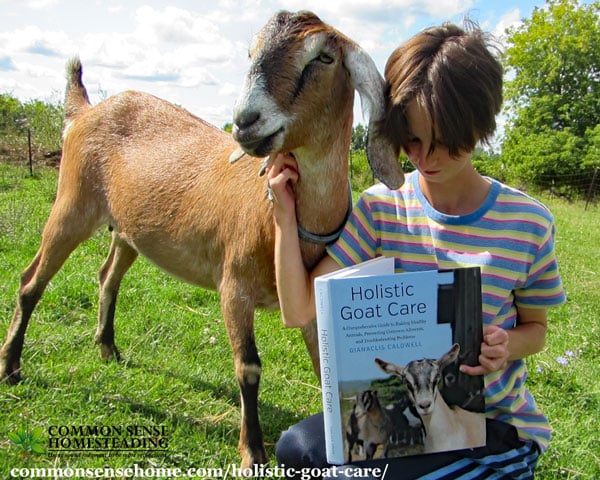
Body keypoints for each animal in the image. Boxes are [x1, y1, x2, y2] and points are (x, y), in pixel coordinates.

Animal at [1, 11, 404, 466]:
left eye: (324, 57)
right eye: (250, 52)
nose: (246, 121)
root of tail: (84, 111)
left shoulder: (311, 301)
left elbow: (322, 366)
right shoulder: (233, 286)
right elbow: (248, 368)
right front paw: (252, 452)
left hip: (126, 231)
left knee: (107, 277)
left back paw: (107, 349)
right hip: (72, 204)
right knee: (30, 281)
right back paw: (11, 368)